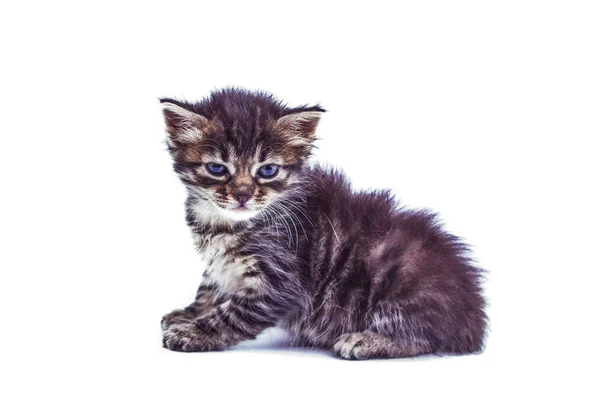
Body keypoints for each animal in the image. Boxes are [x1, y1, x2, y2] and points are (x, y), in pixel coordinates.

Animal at [158, 88, 488, 360]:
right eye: (217, 168)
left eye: (267, 170)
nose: (243, 195)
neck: (225, 224)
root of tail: (473, 316)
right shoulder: (221, 264)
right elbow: (209, 285)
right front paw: (188, 314)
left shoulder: (281, 281)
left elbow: (232, 314)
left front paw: (194, 332)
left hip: (401, 279)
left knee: (424, 339)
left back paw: (365, 341)